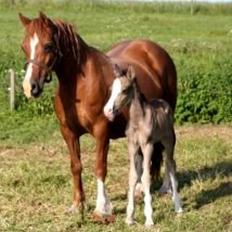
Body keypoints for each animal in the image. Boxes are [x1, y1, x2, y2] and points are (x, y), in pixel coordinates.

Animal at [19, 12, 177, 221]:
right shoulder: (68, 133)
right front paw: (77, 205)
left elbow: (100, 166)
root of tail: (156, 51)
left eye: (48, 45)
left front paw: (102, 208)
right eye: (24, 46)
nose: (30, 87)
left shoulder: (101, 132)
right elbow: (76, 166)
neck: (79, 86)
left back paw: (166, 187)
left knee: (166, 153)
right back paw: (139, 189)